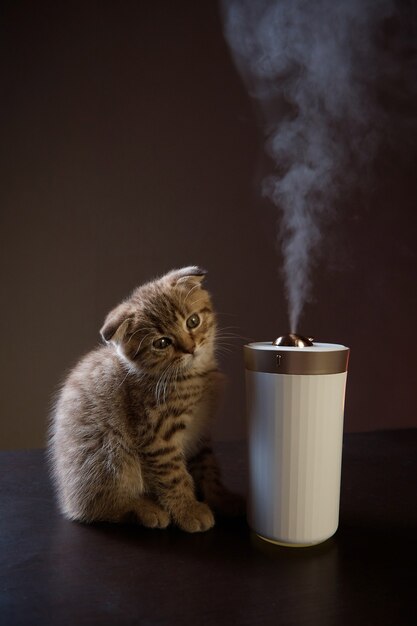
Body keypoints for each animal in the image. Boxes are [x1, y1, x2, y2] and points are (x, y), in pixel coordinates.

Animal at [48, 264, 240, 532]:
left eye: (193, 321)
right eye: (162, 343)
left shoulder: (200, 432)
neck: (193, 375)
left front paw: (222, 499)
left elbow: (208, 468)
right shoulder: (158, 435)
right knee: (97, 506)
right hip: (111, 450)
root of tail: (68, 499)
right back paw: (144, 509)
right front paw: (188, 510)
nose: (191, 348)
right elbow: (174, 475)